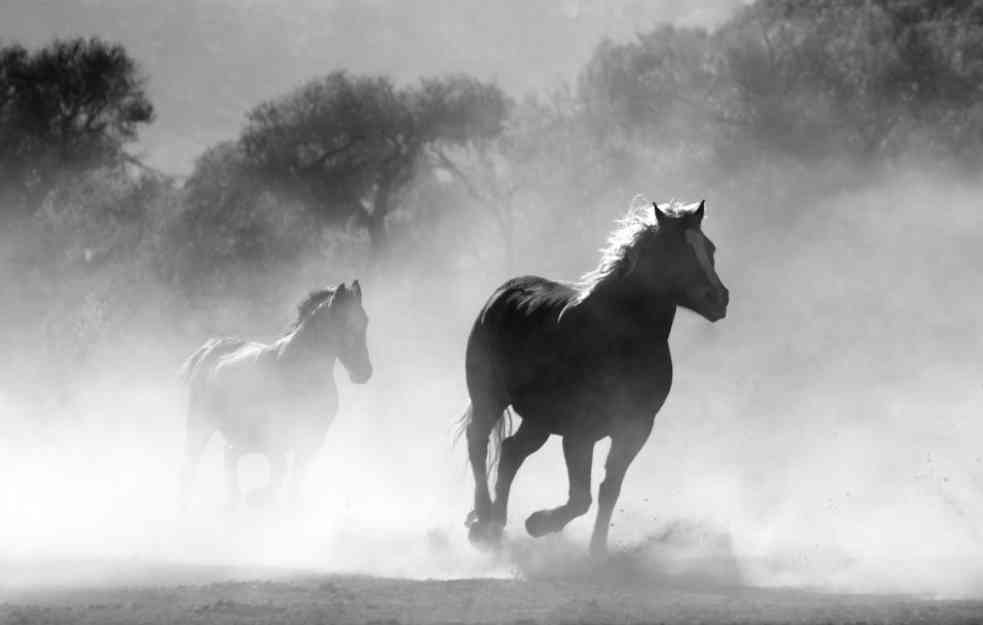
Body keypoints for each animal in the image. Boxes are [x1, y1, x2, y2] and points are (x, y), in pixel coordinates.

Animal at [177, 282, 372, 508]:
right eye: (343, 322)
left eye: (365, 321)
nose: (364, 372)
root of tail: (208, 349)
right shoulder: (276, 441)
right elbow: (279, 477)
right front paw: (258, 497)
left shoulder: (310, 441)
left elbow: (293, 484)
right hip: (200, 426)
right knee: (191, 467)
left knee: (229, 456)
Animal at [464, 200, 732, 556]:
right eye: (676, 250)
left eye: (709, 248)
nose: (719, 298)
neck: (619, 339)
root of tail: (502, 294)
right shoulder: (580, 433)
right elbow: (581, 497)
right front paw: (537, 523)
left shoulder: (635, 428)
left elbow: (609, 490)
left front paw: (597, 551)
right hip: (489, 398)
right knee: (478, 443)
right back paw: (482, 520)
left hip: (539, 421)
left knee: (510, 453)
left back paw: (496, 524)